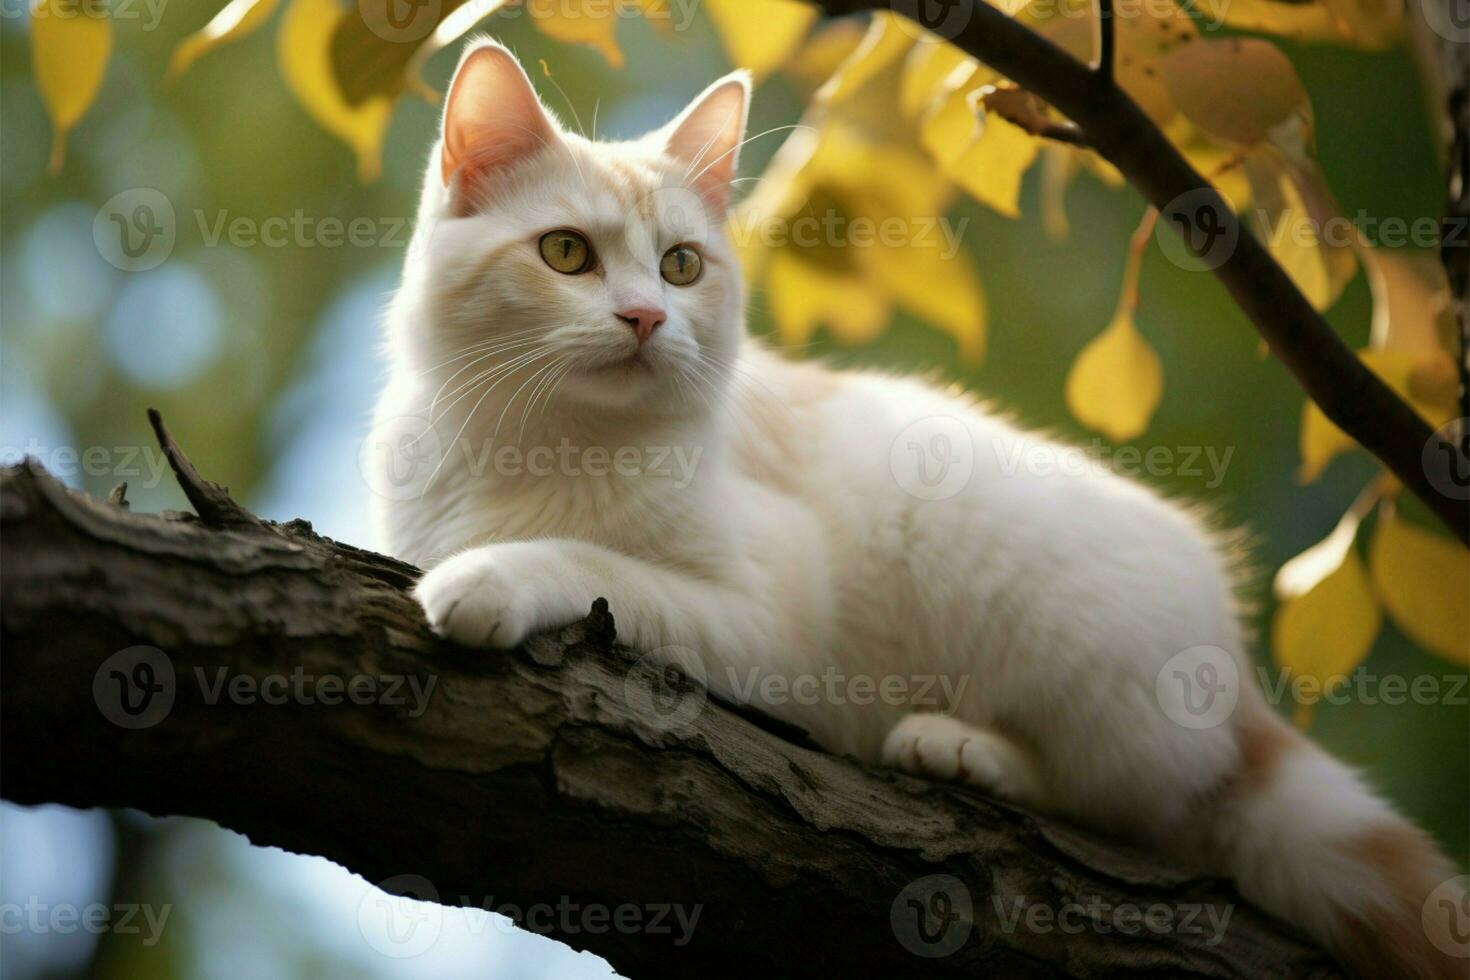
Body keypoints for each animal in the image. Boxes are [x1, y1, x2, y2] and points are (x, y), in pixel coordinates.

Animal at [373, 34, 1464, 975]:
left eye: (681, 265)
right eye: (565, 253)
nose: (646, 317)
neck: (536, 439)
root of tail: (1240, 685)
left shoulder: (775, 623)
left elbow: (594, 563)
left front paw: (490, 574)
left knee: (1130, 801)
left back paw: (959, 746)